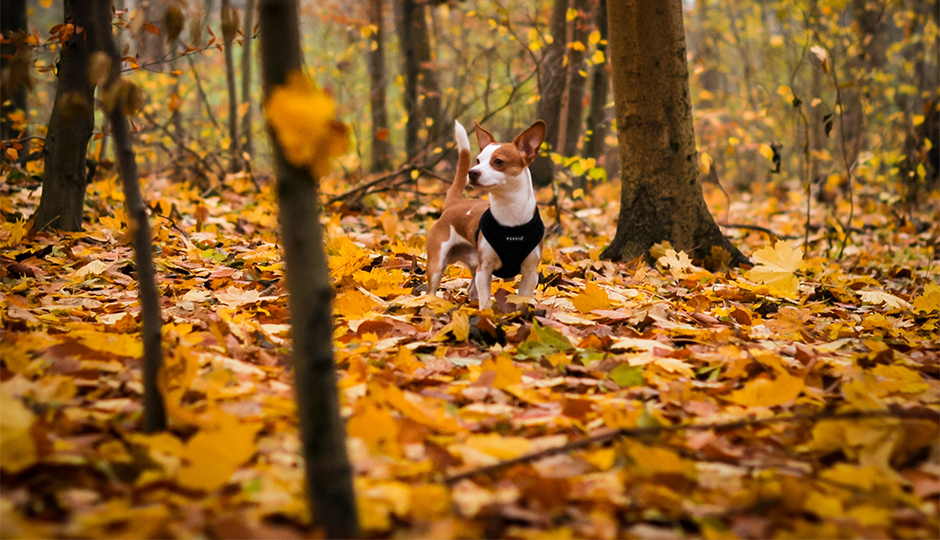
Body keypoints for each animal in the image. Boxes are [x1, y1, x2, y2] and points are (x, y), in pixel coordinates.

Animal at [424, 119, 548, 310]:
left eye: (498, 161)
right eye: (478, 160)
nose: (472, 172)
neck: (510, 219)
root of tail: (453, 205)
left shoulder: (530, 274)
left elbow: (522, 301)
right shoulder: (485, 270)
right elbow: (486, 303)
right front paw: (486, 315)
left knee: (471, 290)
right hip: (437, 264)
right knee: (431, 290)